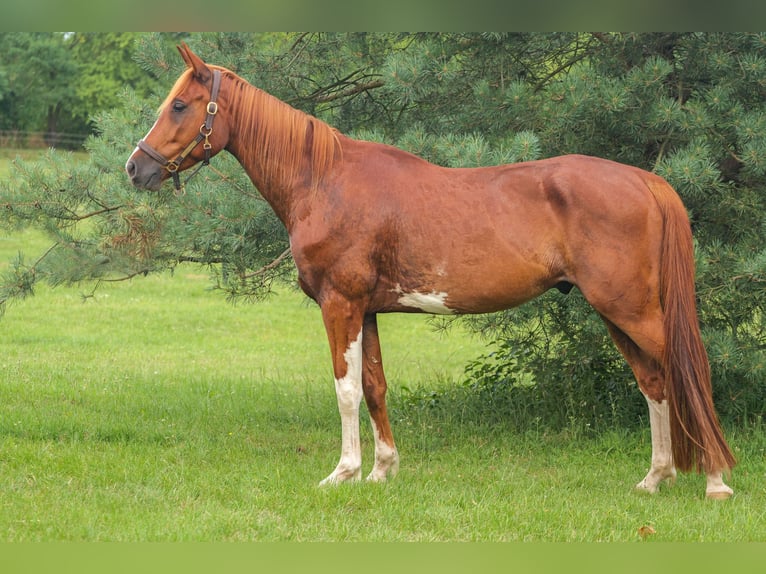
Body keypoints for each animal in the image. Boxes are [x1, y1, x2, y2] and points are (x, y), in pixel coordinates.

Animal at [126, 43, 736, 499]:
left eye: (180, 105)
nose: (136, 168)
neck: (324, 181)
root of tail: (644, 180)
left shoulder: (339, 304)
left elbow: (345, 388)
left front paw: (343, 473)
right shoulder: (367, 310)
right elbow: (374, 386)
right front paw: (381, 470)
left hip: (630, 309)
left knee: (690, 373)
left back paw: (714, 482)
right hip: (618, 312)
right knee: (655, 382)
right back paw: (654, 478)